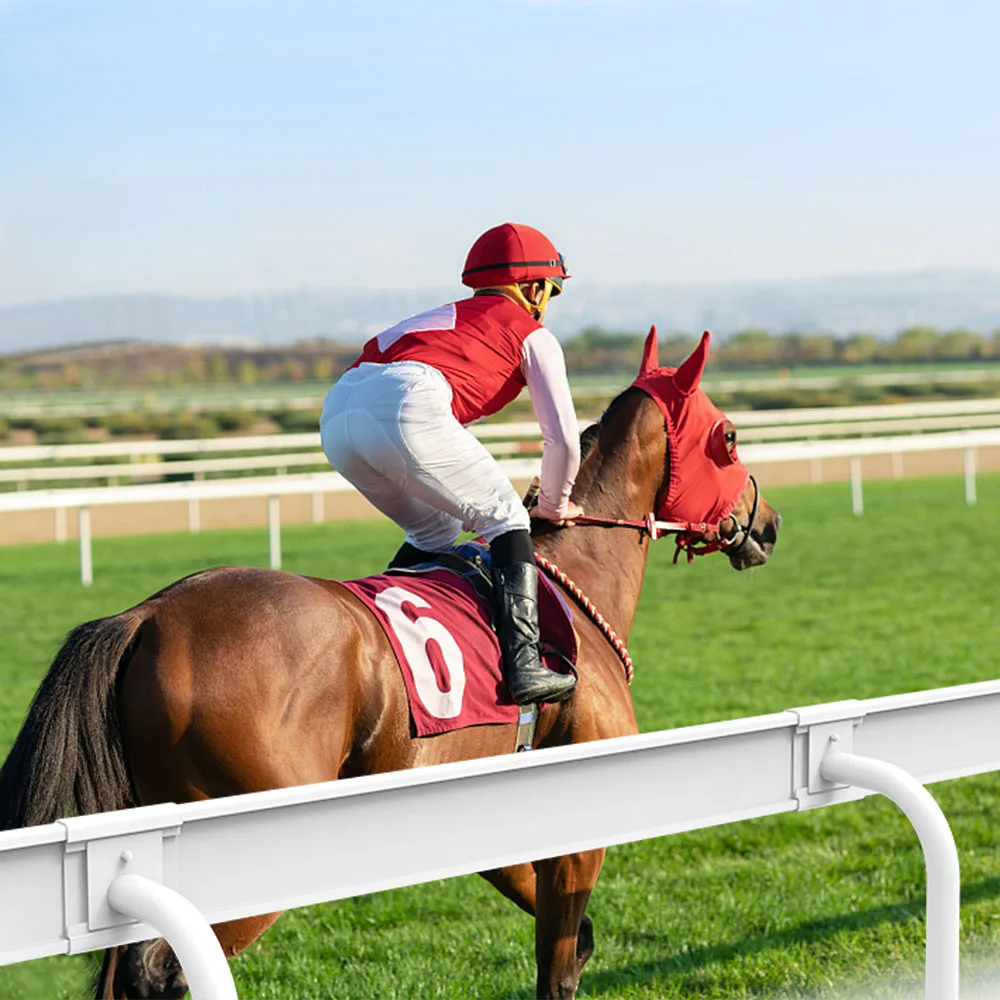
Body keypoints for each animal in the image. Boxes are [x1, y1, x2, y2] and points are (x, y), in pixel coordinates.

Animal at [0, 330, 781, 999]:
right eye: (730, 436)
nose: (768, 523)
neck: (572, 582)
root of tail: (146, 615)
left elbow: (574, 939)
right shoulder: (579, 821)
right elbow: (560, 964)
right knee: (162, 973)